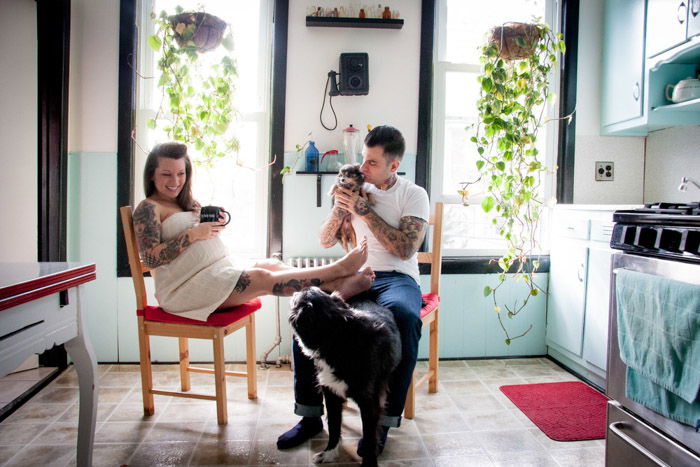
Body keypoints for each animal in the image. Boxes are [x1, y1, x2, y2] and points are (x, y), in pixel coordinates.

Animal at [288, 288, 400, 466]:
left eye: (301, 298)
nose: (300, 288)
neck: (337, 337)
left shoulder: (369, 402)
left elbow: (370, 438)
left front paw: (369, 463)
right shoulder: (331, 393)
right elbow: (334, 426)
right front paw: (329, 453)